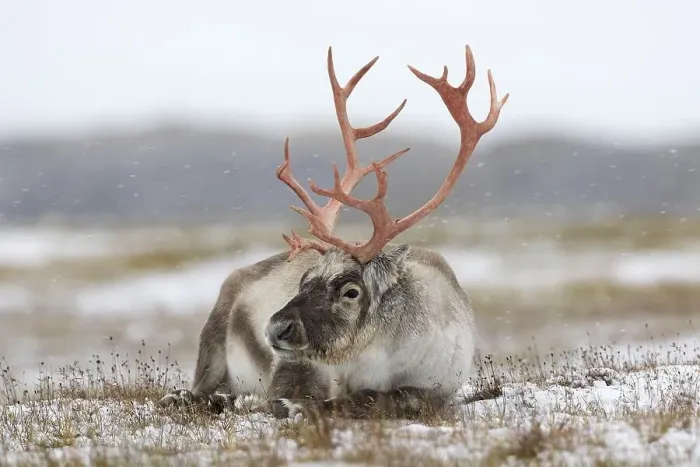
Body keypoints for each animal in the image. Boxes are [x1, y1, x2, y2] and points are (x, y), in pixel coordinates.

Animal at [158, 45, 508, 419]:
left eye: (351, 291)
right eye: (304, 279)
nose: (275, 328)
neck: (379, 357)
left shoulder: (438, 387)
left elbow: (383, 398)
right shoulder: (296, 366)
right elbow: (288, 394)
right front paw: (281, 403)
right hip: (213, 337)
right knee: (199, 389)